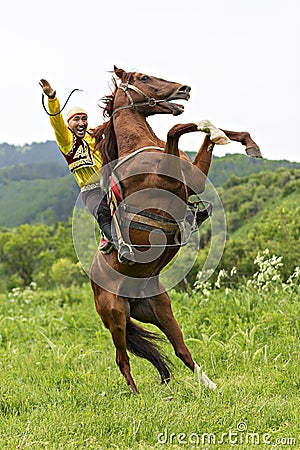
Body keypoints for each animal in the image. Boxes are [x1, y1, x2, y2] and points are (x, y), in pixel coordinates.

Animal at [90, 65, 262, 392]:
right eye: (144, 78)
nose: (185, 89)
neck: (141, 146)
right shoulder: (166, 182)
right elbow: (176, 129)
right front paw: (217, 132)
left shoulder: (193, 179)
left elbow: (194, 132)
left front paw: (243, 141)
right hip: (116, 315)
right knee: (122, 359)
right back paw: (137, 396)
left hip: (159, 308)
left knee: (181, 349)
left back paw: (210, 386)